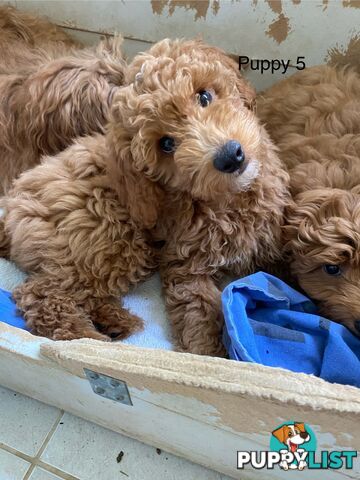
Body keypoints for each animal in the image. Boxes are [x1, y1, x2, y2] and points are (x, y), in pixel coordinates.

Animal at [0, 38, 288, 352]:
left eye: (204, 97)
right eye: (166, 144)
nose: (230, 156)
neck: (229, 200)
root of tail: (12, 204)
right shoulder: (186, 266)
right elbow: (200, 315)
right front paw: (213, 354)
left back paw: (115, 321)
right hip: (107, 238)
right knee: (41, 293)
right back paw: (86, 337)